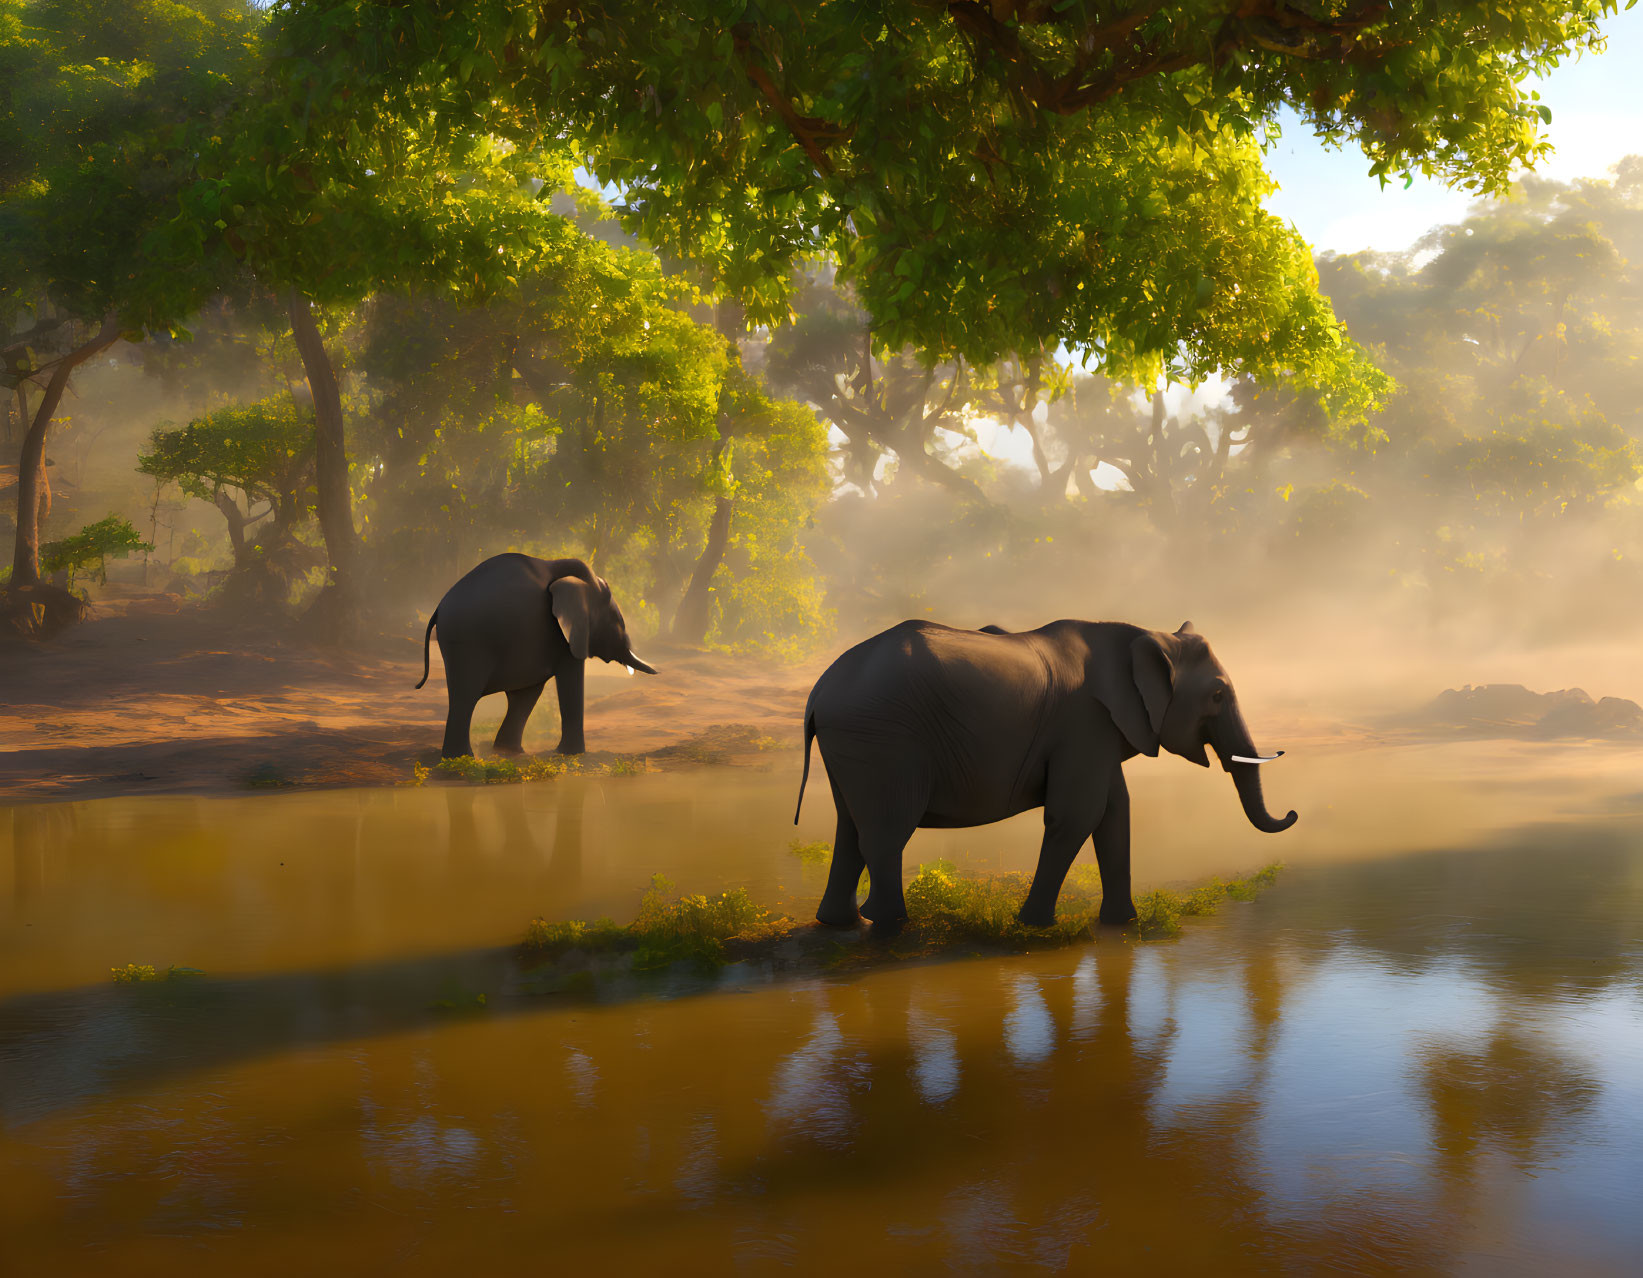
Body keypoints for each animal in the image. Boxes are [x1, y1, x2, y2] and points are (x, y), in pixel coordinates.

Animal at [414, 548, 657, 755]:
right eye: (617, 623)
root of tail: (439, 607)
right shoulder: (563, 636)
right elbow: (570, 682)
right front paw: (571, 755)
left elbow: (527, 693)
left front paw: (509, 752)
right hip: (467, 642)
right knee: (465, 697)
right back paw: (460, 759)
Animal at [795, 617, 1294, 926]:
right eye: (1217, 696)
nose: (1291, 814)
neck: (1142, 633)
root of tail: (818, 692)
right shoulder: (1084, 721)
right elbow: (1078, 815)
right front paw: (1034, 925)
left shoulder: (1099, 728)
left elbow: (1114, 811)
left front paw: (1121, 925)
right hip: (884, 739)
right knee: (887, 829)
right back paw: (889, 923)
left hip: (855, 746)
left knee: (849, 826)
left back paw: (840, 923)